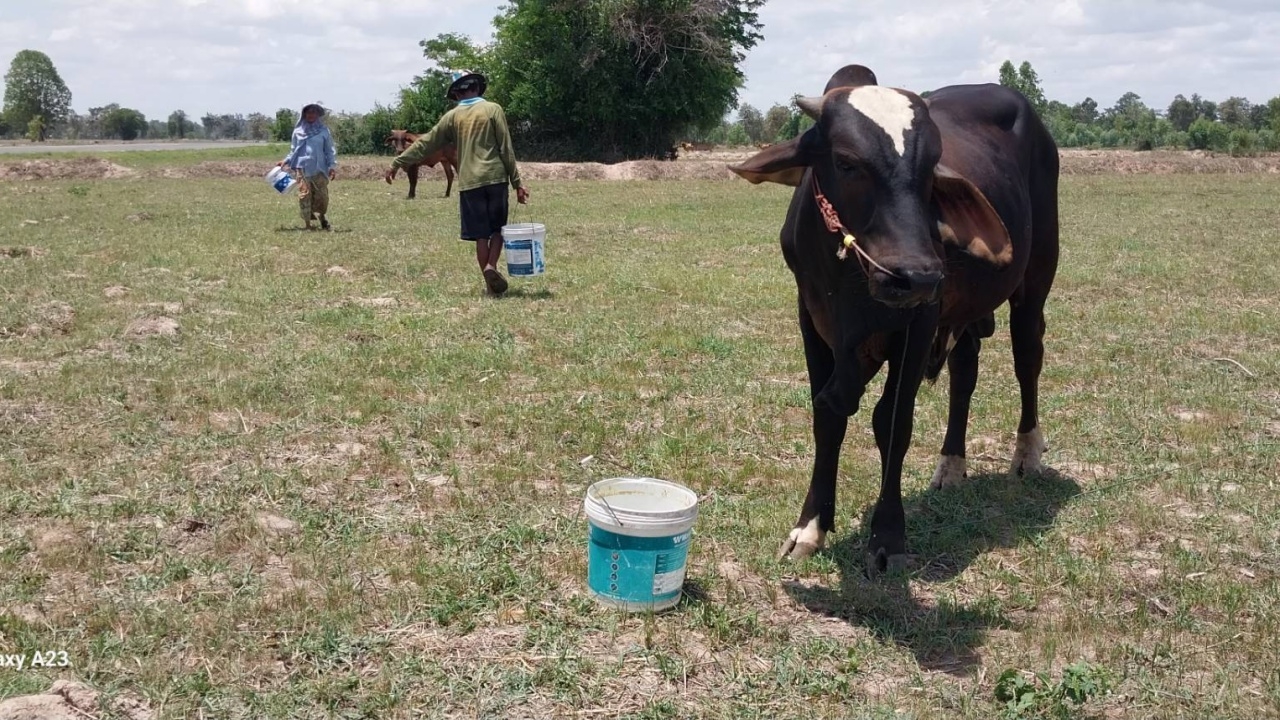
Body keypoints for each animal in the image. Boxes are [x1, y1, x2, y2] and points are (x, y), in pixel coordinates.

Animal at [732, 67, 1059, 571]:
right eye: (846, 162)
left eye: (932, 167)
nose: (917, 275)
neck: (849, 279)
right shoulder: (812, 319)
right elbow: (827, 414)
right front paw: (811, 526)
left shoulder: (918, 324)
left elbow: (892, 421)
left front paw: (887, 535)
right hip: (963, 311)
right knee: (965, 372)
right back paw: (951, 465)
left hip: (1035, 279)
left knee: (1028, 357)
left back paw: (1027, 454)